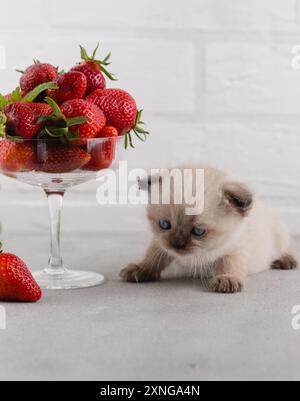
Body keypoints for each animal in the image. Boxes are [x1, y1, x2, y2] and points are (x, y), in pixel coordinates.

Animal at [120, 164, 298, 292]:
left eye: (198, 232)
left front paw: (226, 278)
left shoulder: (235, 249)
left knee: (283, 248)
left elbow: (229, 263)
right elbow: (152, 257)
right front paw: (140, 269)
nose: (177, 245)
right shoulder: (161, 244)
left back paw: (285, 260)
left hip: (280, 232)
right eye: (164, 224)